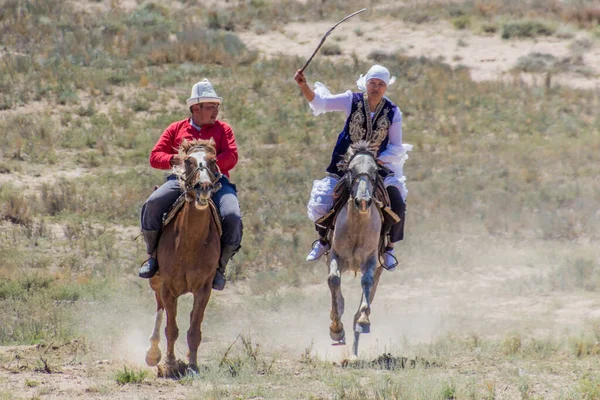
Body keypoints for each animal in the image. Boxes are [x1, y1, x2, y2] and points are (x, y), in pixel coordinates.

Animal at [144, 139, 221, 376]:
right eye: (188, 161)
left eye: (213, 160)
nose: (203, 187)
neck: (190, 243)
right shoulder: (168, 288)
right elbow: (171, 329)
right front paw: (169, 364)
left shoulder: (203, 290)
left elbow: (194, 330)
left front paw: (193, 365)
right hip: (156, 282)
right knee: (159, 310)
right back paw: (152, 354)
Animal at [326, 140, 386, 356]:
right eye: (351, 170)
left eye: (375, 170)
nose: (363, 201)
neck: (357, 227)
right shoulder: (334, 256)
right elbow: (333, 280)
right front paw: (336, 329)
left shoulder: (371, 261)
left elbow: (366, 283)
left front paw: (363, 320)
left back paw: (354, 349)